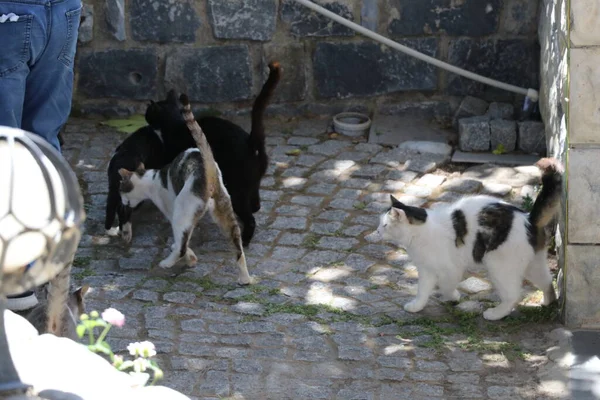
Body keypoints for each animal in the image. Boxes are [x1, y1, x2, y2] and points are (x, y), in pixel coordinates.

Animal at [118, 95, 252, 286]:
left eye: (121, 190)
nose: (121, 201)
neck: (150, 179)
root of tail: (208, 171)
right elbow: (185, 241)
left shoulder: (171, 212)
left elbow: (183, 243)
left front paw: (189, 258)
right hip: (226, 216)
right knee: (239, 250)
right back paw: (245, 278)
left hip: (181, 212)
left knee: (181, 247)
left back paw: (167, 263)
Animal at [376, 158, 564, 320]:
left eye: (384, 225)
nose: (377, 231)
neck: (421, 232)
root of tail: (528, 218)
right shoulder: (426, 269)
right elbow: (422, 291)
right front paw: (417, 306)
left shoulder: (450, 268)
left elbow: (447, 285)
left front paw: (453, 296)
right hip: (534, 265)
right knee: (548, 283)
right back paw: (548, 302)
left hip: (499, 266)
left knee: (512, 295)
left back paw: (495, 314)